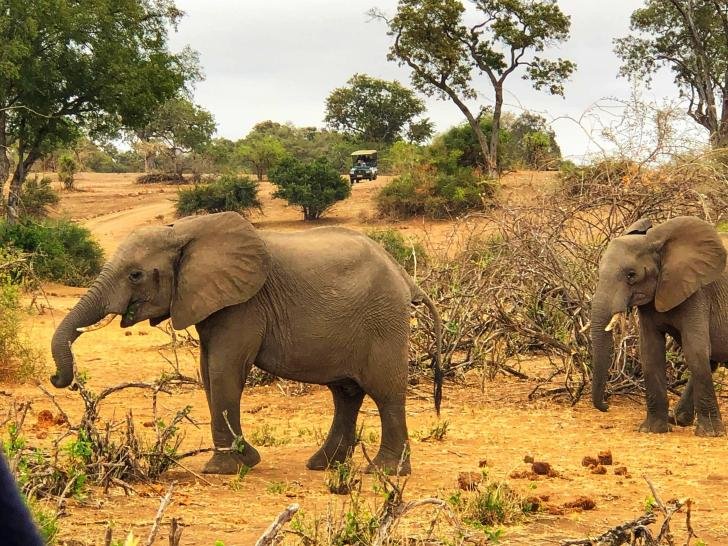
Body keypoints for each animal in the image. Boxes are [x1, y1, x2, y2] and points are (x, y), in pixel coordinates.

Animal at [50, 212, 443, 475]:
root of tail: (405, 276)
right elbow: (208, 373)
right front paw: (247, 460)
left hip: (383, 320)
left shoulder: (244, 305)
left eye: (135, 275)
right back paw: (322, 465)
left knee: (385, 391)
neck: (185, 231)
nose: (58, 379)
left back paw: (385, 472)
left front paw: (221, 469)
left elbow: (224, 371)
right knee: (345, 393)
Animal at [591, 216, 728, 437]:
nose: (606, 406)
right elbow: (651, 352)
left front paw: (711, 434)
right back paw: (678, 419)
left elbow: (695, 351)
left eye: (631, 275)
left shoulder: (697, 293)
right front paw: (653, 430)